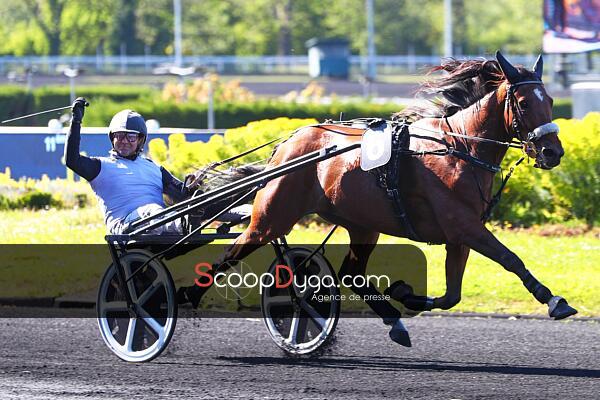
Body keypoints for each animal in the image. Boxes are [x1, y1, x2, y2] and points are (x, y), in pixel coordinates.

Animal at [183, 51, 577, 346]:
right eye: (523, 103)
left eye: (551, 100)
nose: (552, 151)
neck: (460, 147)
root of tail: (288, 144)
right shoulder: (463, 225)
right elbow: (510, 258)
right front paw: (554, 301)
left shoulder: (458, 235)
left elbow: (452, 295)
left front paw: (406, 293)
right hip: (271, 218)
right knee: (230, 254)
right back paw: (185, 297)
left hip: (362, 224)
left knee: (350, 273)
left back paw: (393, 321)